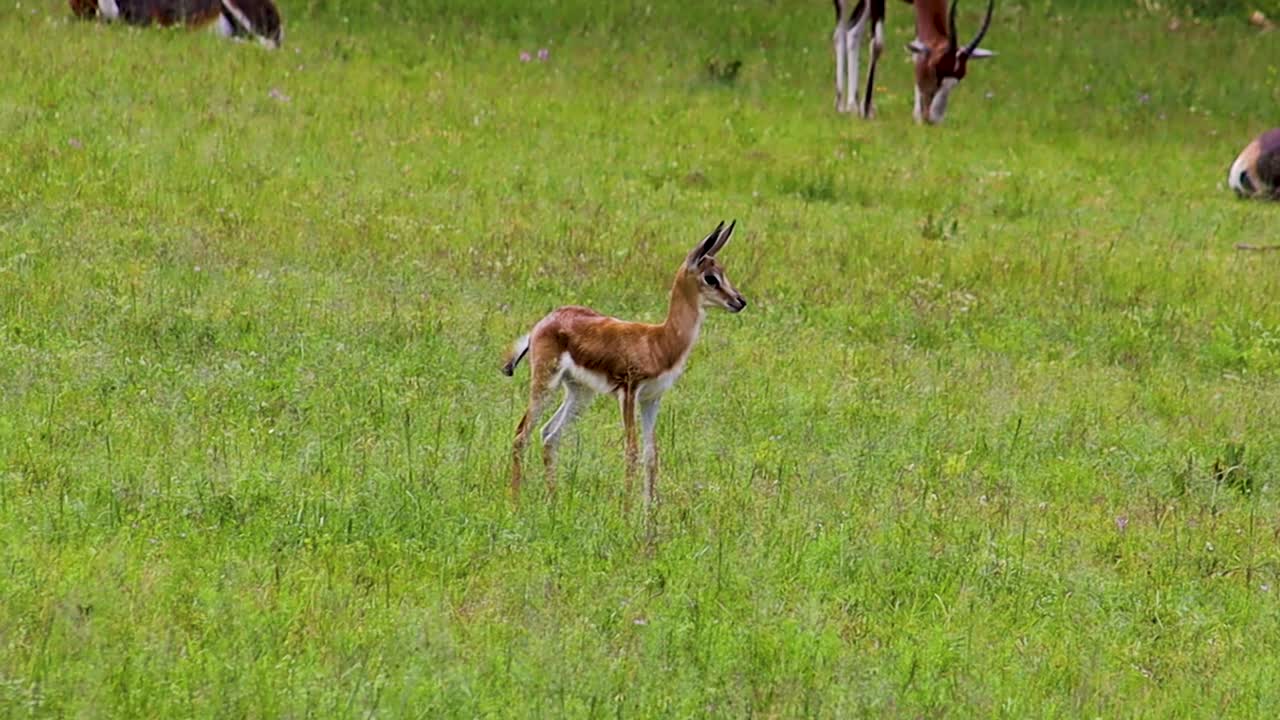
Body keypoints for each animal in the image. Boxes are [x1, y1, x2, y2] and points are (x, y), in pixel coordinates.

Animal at [503, 221, 747, 509]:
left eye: (724, 272)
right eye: (711, 277)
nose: (739, 301)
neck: (659, 341)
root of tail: (544, 322)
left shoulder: (652, 399)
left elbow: (652, 454)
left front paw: (649, 513)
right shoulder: (628, 393)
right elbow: (631, 451)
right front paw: (627, 512)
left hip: (580, 393)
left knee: (550, 435)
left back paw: (553, 501)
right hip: (545, 382)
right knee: (521, 434)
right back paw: (516, 502)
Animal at [832, 0, 995, 124]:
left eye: (960, 77)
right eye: (934, 68)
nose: (934, 119)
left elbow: (917, 49)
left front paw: (917, 116)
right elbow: (877, 45)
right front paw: (866, 110)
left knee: (852, 30)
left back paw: (851, 105)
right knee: (839, 32)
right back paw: (842, 105)